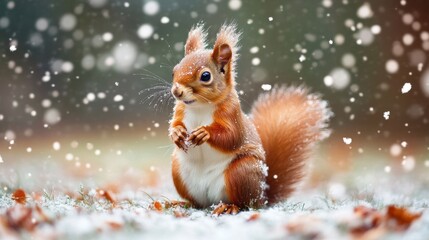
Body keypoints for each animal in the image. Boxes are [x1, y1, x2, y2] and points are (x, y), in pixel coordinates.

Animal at [168, 23, 332, 214]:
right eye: (174, 71)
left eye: (205, 76)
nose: (176, 91)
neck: (200, 107)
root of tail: (262, 196)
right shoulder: (180, 110)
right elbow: (175, 123)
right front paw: (177, 133)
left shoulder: (232, 114)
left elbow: (231, 137)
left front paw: (204, 133)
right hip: (178, 171)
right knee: (197, 203)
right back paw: (181, 203)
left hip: (241, 172)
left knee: (245, 204)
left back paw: (229, 206)